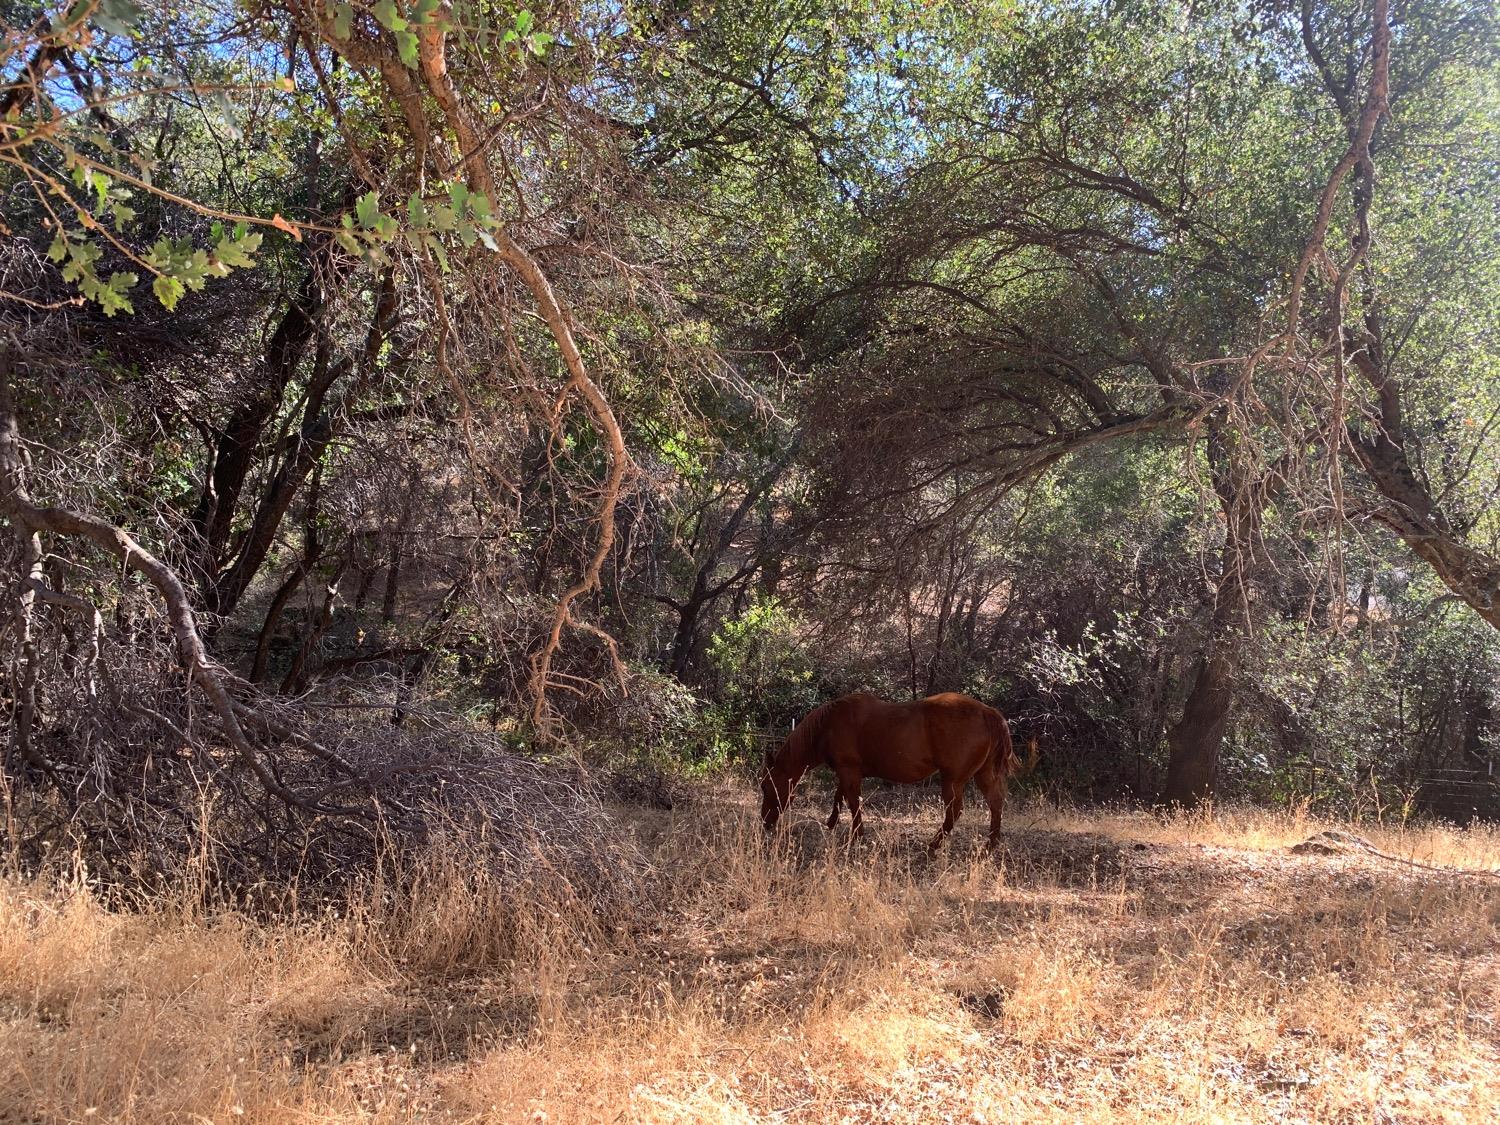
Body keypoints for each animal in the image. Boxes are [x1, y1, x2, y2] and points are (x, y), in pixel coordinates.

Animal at [762, 693, 1032, 852]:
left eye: (766, 786)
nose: (765, 822)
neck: (828, 725)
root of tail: (988, 712)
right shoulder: (848, 771)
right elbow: (840, 796)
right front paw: (832, 822)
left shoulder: (849, 770)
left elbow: (852, 801)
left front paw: (857, 834)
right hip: (982, 774)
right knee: (995, 803)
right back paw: (991, 843)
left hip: (953, 779)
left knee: (954, 811)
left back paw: (934, 844)